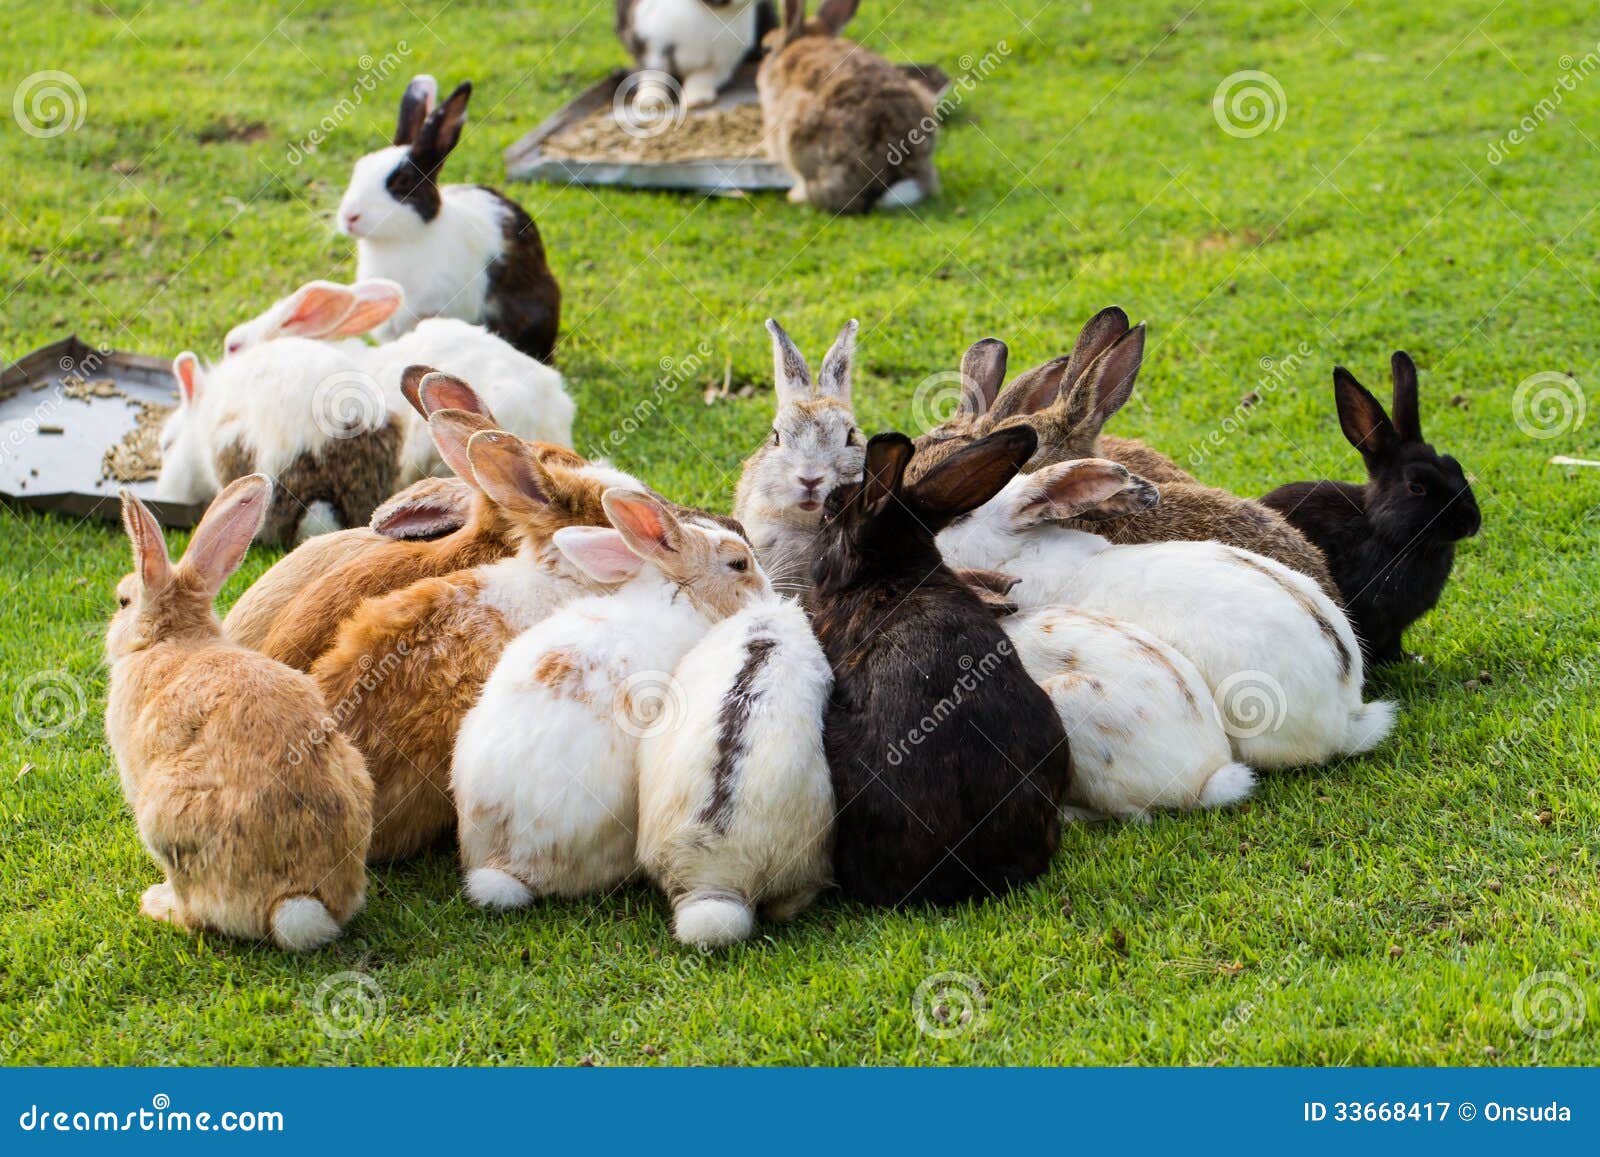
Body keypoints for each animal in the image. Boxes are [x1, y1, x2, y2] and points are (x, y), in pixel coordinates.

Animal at [105, 476, 372, 951]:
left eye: (123, 601)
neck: (171, 636)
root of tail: (298, 903)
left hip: (164, 819)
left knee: (196, 914)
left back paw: (157, 904)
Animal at [616, 0, 776, 108]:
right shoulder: (651, 47)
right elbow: (654, 75)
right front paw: (649, 101)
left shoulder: (721, 61)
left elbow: (702, 77)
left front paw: (697, 100)